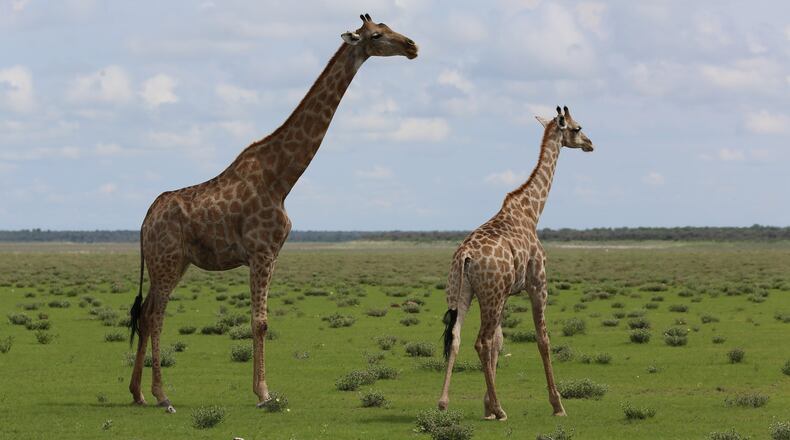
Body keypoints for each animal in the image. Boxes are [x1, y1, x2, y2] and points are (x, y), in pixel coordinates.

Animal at [127, 13, 418, 413]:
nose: (412, 46)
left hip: (172, 263)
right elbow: (260, 322)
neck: (281, 178)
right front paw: (264, 393)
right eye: (376, 35)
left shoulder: (273, 254)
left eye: (390, 28)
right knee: (156, 315)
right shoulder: (261, 251)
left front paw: (261, 389)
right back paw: (162, 395)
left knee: (144, 313)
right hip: (167, 262)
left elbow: (260, 320)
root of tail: (144, 221)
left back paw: (138, 393)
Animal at [437, 106, 594, 420]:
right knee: (480, 341)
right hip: (490, 295)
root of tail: (465, 256)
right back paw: (501, 410)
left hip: (465, 292)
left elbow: (500, 342)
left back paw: (444, 403)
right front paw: (557, 405)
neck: (532, 211)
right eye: (577, 127)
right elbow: (543, 339)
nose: (590, 143)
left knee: (457, 337)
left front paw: (486, 405)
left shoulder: (507, 293)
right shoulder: (538, 284)